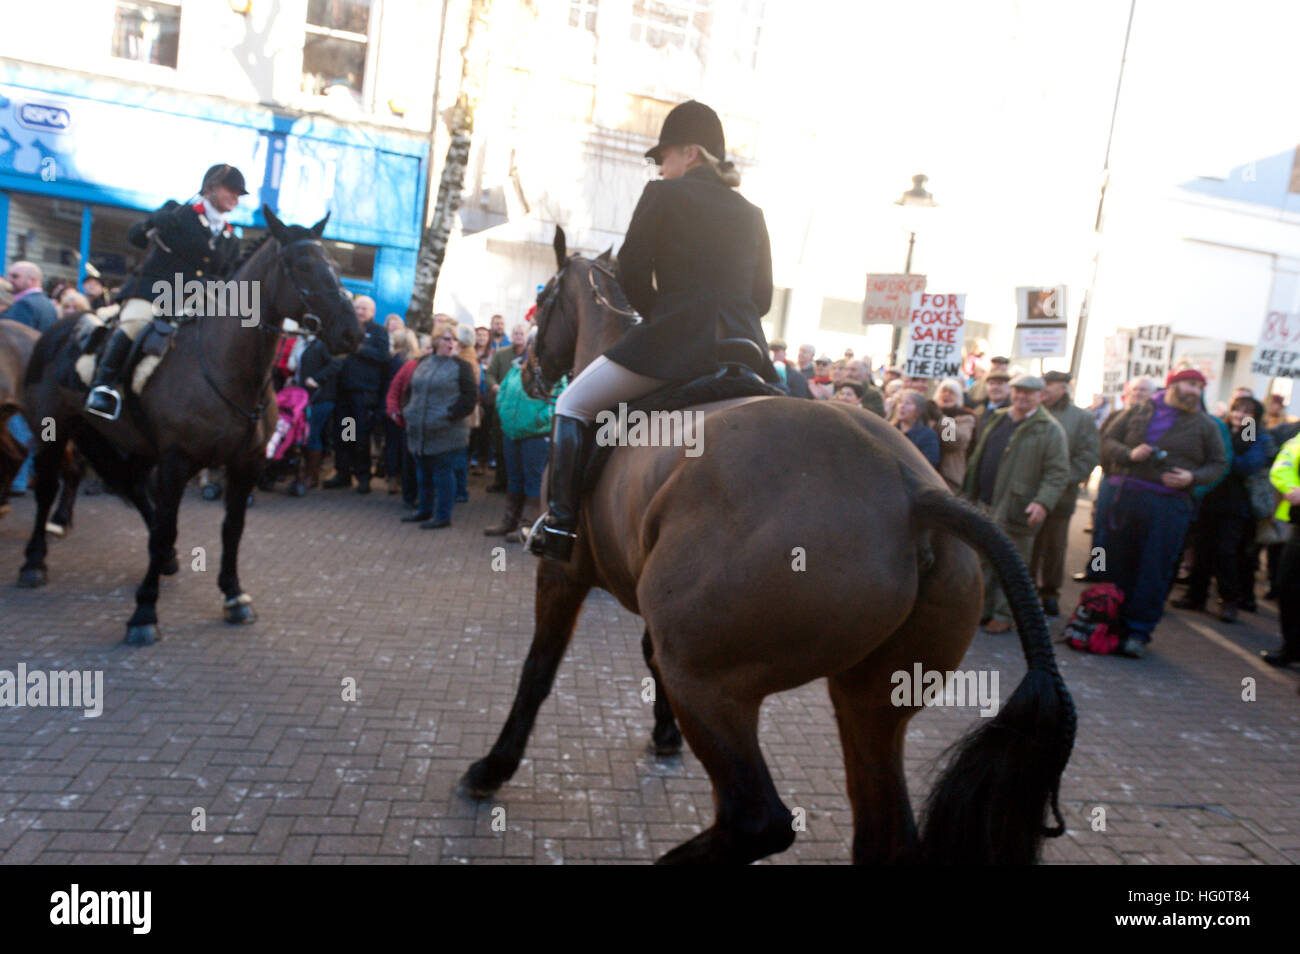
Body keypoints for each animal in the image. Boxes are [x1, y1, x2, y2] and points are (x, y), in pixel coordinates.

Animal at [17, 205, 361, 647]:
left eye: (334, 263)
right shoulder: (176, 461)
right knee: (47, 489)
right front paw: (144, 614)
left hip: (130, 443)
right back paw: (34, 562)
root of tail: (59, 329)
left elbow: (232, 529)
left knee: (131, 489)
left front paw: (233, 595)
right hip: (54, 431)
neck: (225, 365)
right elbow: (168, 525)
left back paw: (162, 559)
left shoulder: (244, 464)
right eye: (302, 265)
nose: (353, 332)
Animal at [465, 226, 1076, 868]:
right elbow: (645, 656)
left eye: (544, 297)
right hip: (871, 699)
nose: (532, 373)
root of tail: (912, 490)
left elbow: (538, 670)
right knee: (884, 831)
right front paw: (663, 735)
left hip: (712, 682)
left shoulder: (566, 574)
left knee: (758, 819)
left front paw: (493, 767)